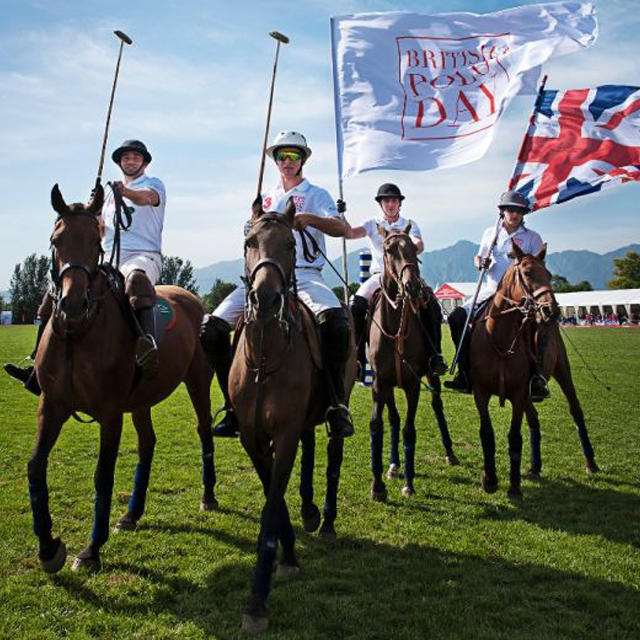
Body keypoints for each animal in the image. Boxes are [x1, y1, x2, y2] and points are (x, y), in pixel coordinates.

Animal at [28, 182, 218, 572]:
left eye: (96, 241)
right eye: (56, 240)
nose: (72, 304)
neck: (78, 333)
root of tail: (191, 298)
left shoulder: (111, 411)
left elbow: (103, 474)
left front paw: (90, 550)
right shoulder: (51, 405)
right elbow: (36, 466)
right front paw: (49, 548)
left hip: (197, 380)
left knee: (204, 430)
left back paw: (208, 497)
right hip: (142, 397)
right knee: (148, 443)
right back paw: (131, 514)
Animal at [229, 200, 360, 636]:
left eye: (290, 243)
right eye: (249, 242)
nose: (265, 299)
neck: (265, 355)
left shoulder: (283, 432)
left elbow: (271, 505)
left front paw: (256, 602)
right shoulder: (252, 437)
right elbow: (275, 491)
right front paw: (288, 555)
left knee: (332, 454)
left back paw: (328, 521)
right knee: (310, 445)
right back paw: (309, 509)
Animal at [364, 225, 456, 500]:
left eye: (414, 248)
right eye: (388, 249)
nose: (412, 286)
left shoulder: (413, 385)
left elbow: (408, 429)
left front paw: (409, 483)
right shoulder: (381, 383)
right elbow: (381, 424)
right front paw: (379, 484)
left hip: (431, 374)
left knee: (437, 405)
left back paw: (450, 453)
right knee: (394, 419)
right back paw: (394, 465)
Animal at [468, 242, 596, 498]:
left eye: (548, 274)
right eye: (527, 272)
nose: (552, 311)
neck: (500, 339)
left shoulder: (518, 393)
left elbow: (515, 437)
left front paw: (514, 486)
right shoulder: (480, 392)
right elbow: (486, 433)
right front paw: (490, 479)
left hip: (561, 370)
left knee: (575, 410)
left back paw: (591, 463)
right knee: (534, 420)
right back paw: (535, 467)